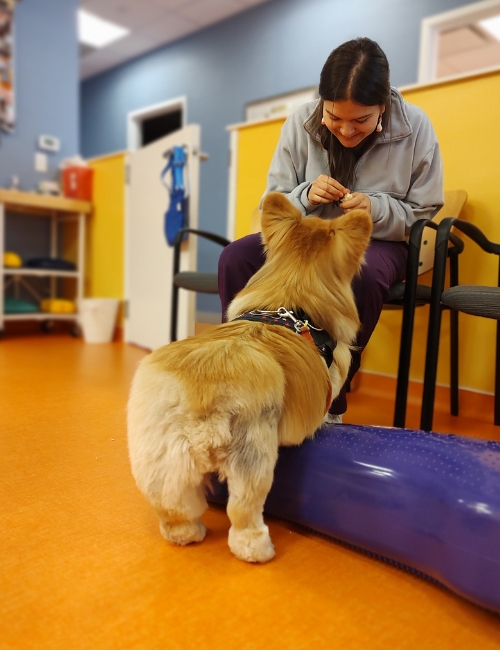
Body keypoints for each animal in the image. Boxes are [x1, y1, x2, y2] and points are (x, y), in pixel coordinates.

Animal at [128, 192, 372, 560]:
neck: (291, 302)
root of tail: (199, 398)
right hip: (253, 456)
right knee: (243, 512)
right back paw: (258, 549)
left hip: (163, 459)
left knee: (175, 508)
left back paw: (189, 533)